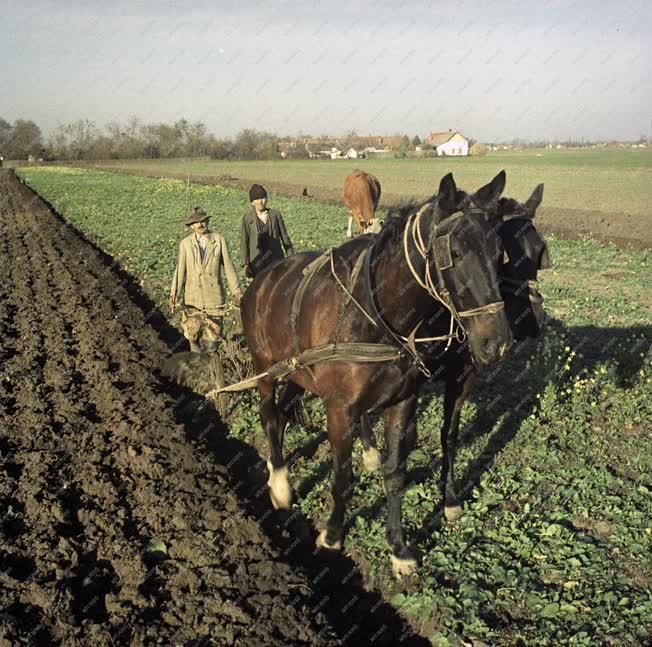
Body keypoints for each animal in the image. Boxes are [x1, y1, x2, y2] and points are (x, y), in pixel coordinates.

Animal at [241, 171, 516, 576]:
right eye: (453, 253)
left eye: (499, 251)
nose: (496, 343)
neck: (378, 314)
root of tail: (262, 280)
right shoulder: (339, 409)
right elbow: (341, 476)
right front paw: (332, 535)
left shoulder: (402, 401)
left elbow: (395, 473)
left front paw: (399, 548)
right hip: (264, 369)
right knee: (270, 417)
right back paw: (279, 483)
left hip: (297, 373)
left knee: (286, 409)